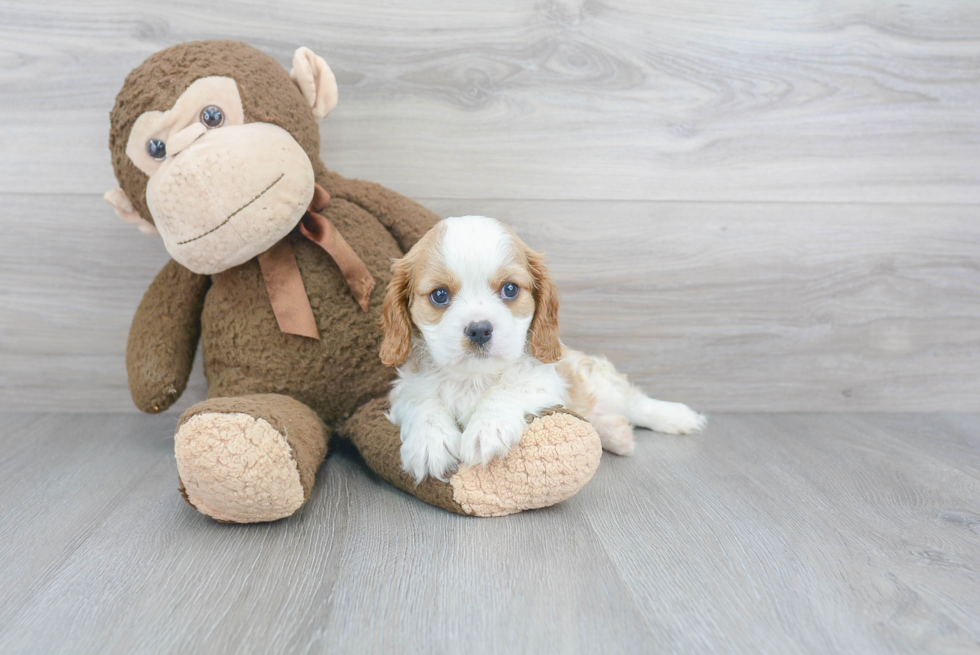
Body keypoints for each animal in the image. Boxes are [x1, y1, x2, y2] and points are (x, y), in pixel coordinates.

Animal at [378, 215, 704, 482]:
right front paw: (429, 442)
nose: (479, 329)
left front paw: (487, 428)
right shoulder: (404, 390)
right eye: (439, 295)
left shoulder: (545, 379)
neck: (474, 378)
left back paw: (677, 416)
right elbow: (423, 403)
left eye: (510, 289)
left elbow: (506, 391)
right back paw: (616, 433)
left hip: (596, 381)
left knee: (635, 402)